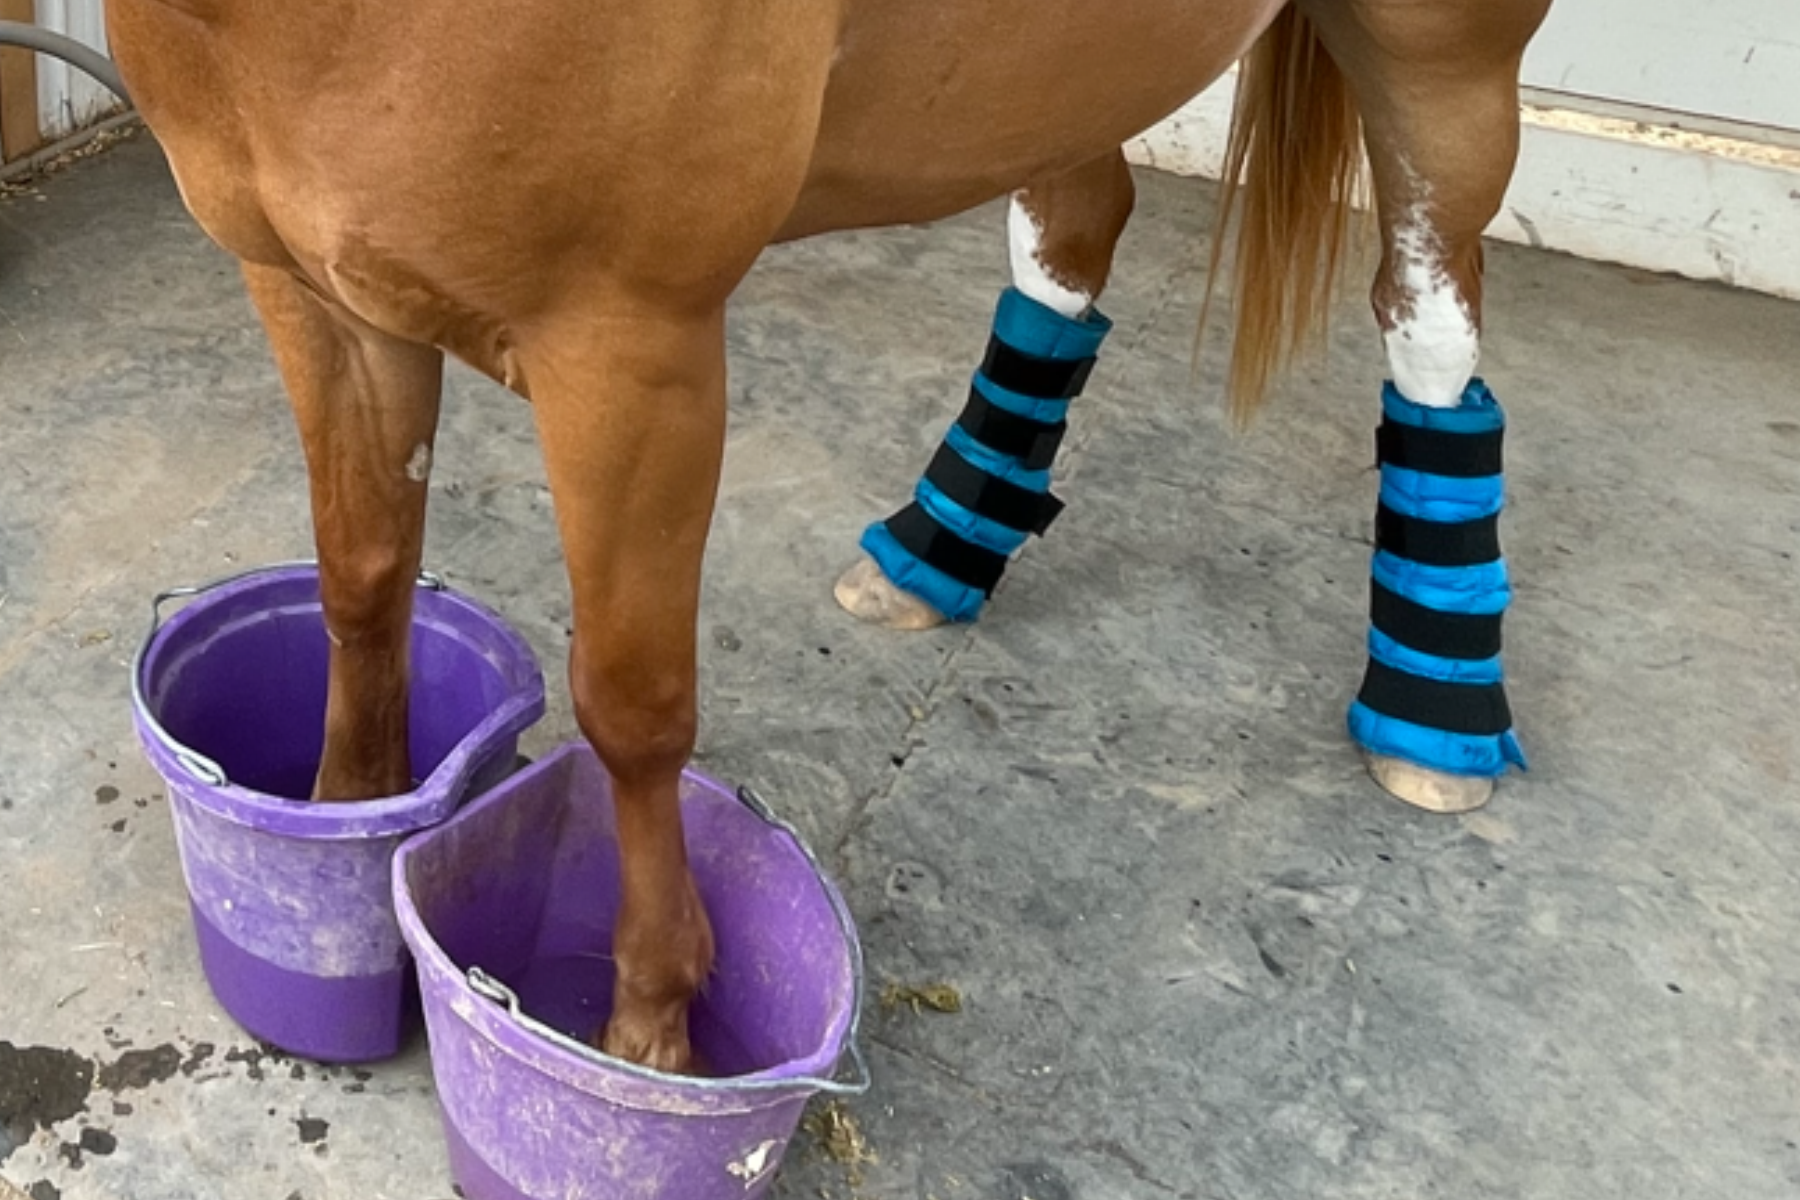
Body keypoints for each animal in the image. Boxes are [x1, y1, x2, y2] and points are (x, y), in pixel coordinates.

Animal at [104, 0, 1553, 1074]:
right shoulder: (317, 298)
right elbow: (361, 581)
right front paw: (337, 835)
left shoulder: (633, 362)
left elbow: (634, 709)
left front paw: (654, 1026)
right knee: (1079, 222)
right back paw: (941, 551)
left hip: (1444, 69)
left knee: (1432, 325)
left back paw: (1432, 716)